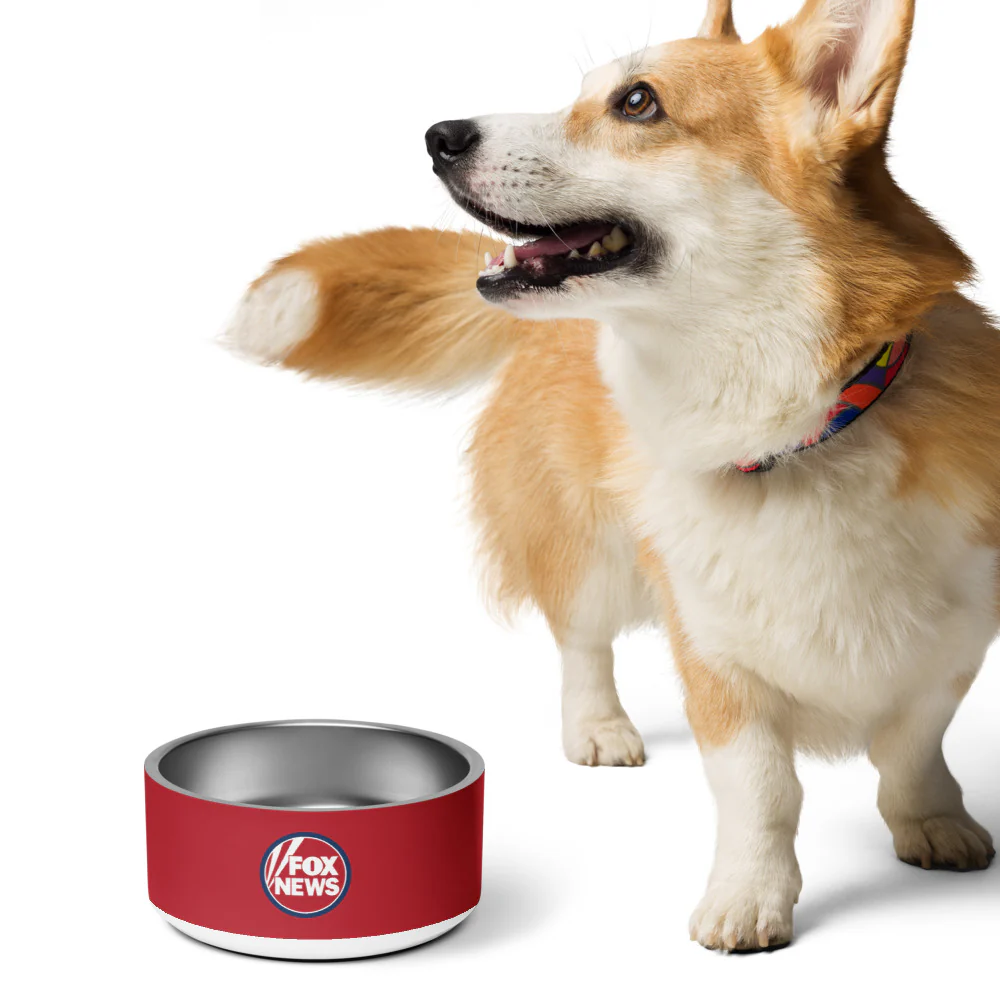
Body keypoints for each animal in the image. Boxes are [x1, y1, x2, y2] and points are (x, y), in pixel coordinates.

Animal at [226, 0, 998, 951]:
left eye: (638, 102)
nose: (438, 135)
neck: (808, 431)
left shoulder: (955, 642)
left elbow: (912, 745)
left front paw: (932, 822)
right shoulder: (713, 652)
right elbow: (762, 789)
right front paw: (748, 898)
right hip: (590, 553)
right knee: (581, 641)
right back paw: (598, 727)